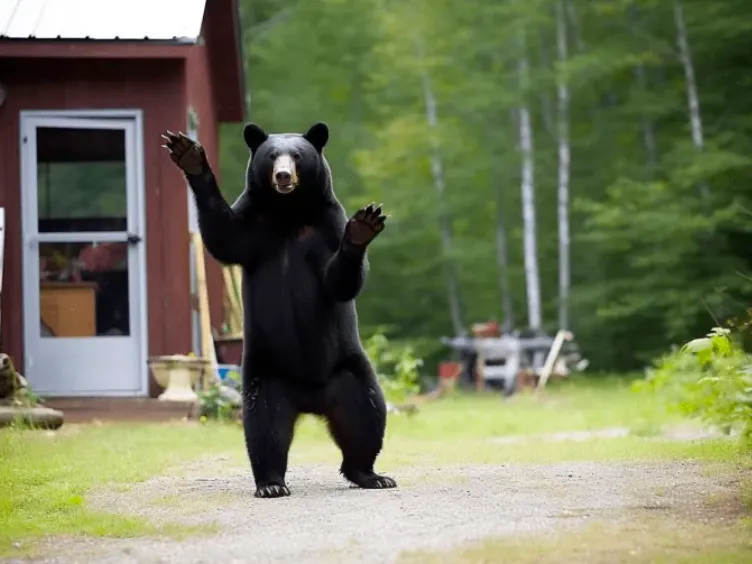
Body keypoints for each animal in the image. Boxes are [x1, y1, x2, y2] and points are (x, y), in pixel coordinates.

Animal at [161, 122, 397, 498]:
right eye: (272, 156)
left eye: (297, 155)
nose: (283, 175)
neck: (289, 213)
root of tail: (310, 398)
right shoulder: (253, 221)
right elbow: (223, 237)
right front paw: (189, 155)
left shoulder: (327, 223)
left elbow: (340, 282)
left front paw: (362, 227)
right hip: (267, 376)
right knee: (264, 428)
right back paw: (271, 483)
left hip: (349, 371)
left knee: (367, 415)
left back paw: (371, 474)